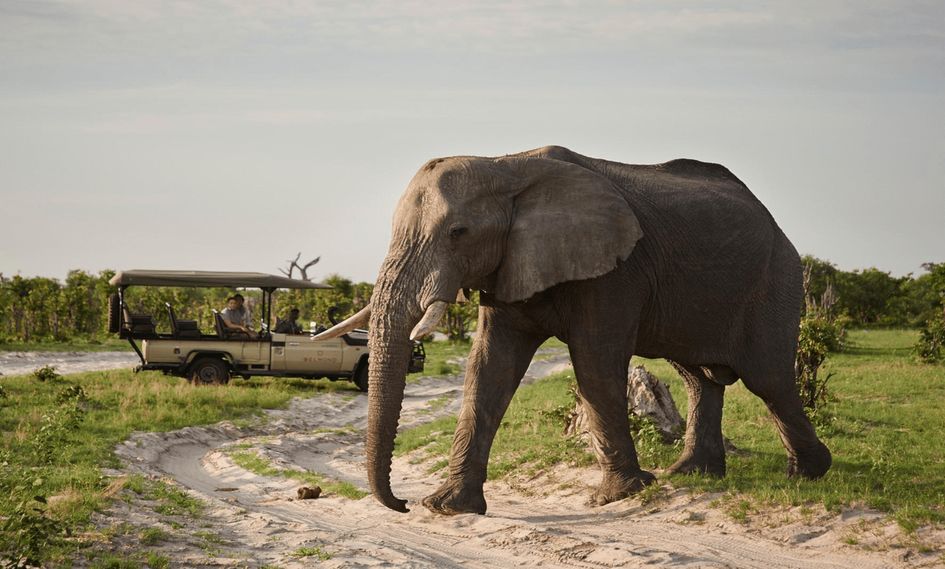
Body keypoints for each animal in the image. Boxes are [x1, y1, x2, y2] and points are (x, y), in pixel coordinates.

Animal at [316, 145, 832, 515]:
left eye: (458, 232)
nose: (402, 504)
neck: (505, 165)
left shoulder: (613, 270)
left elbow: (595, 363)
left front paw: (618, 497)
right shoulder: (510, 264)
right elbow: (489, 367)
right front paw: (449, 507)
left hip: (778, 279)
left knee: (768, 378)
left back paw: (808, 475)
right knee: (698, 376)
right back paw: (691, 475)